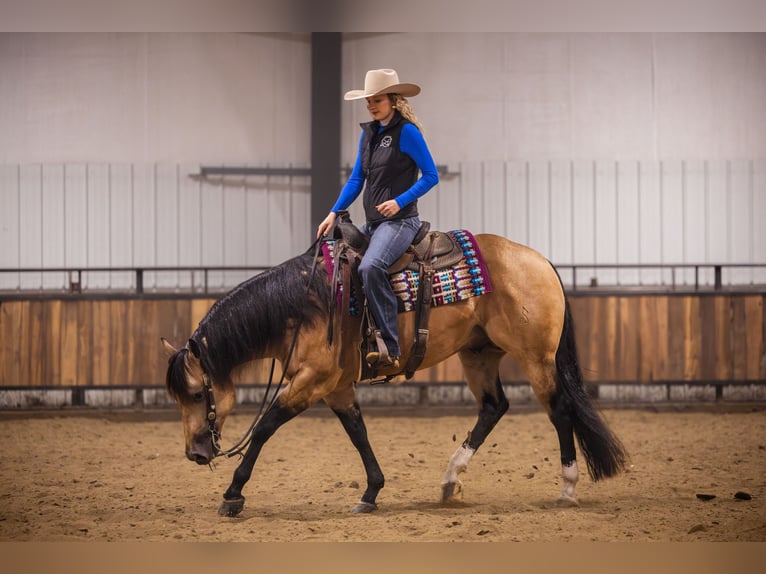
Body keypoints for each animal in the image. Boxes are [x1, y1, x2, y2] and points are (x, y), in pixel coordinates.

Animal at [162, 232, 627, 517]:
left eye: (197, 394)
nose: (195, 453)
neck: (304, 304)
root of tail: (540, 260)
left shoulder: (312, 381)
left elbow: (264, 428)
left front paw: (232, 495)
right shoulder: (336, 387)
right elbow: (358, 432)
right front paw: (371, 492)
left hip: (536, 358)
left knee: (559, 410)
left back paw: (567, 487)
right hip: (478, 354)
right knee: (494, 407)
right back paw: (450, 479)